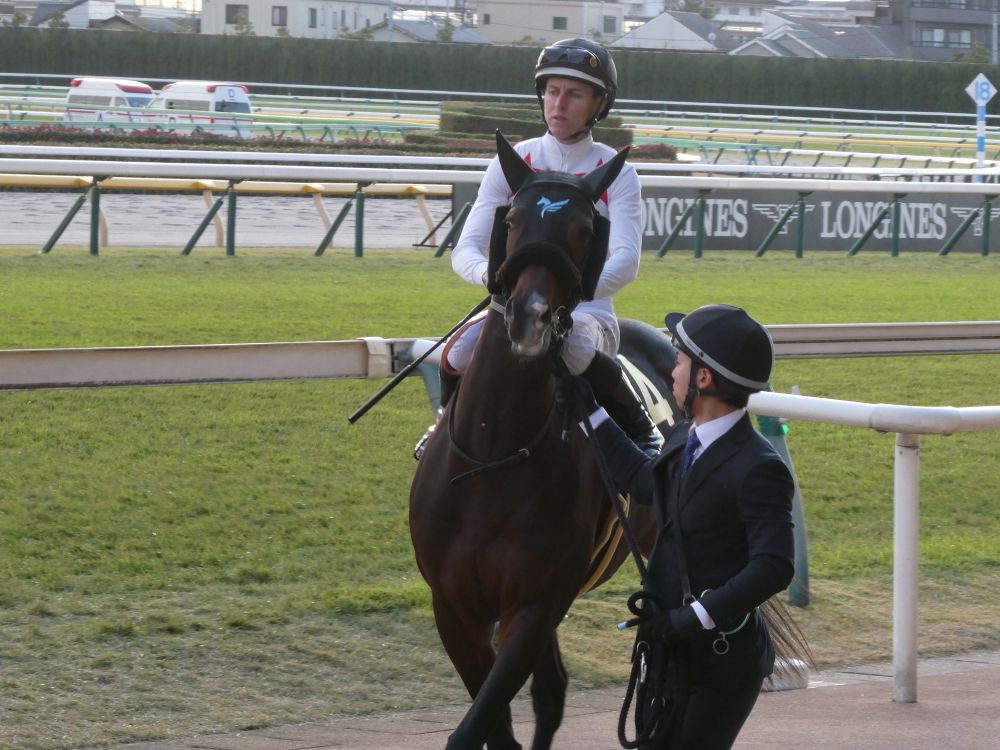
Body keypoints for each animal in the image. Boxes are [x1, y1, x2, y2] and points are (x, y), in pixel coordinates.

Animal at [409, 133, 683, 750]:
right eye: (510, 220)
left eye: (584, 229)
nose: (530, 319)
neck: (493, 455)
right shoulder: (454, 607)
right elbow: (493, 726)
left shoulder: (534, 605)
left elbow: (481, 724)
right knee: (551, 690)